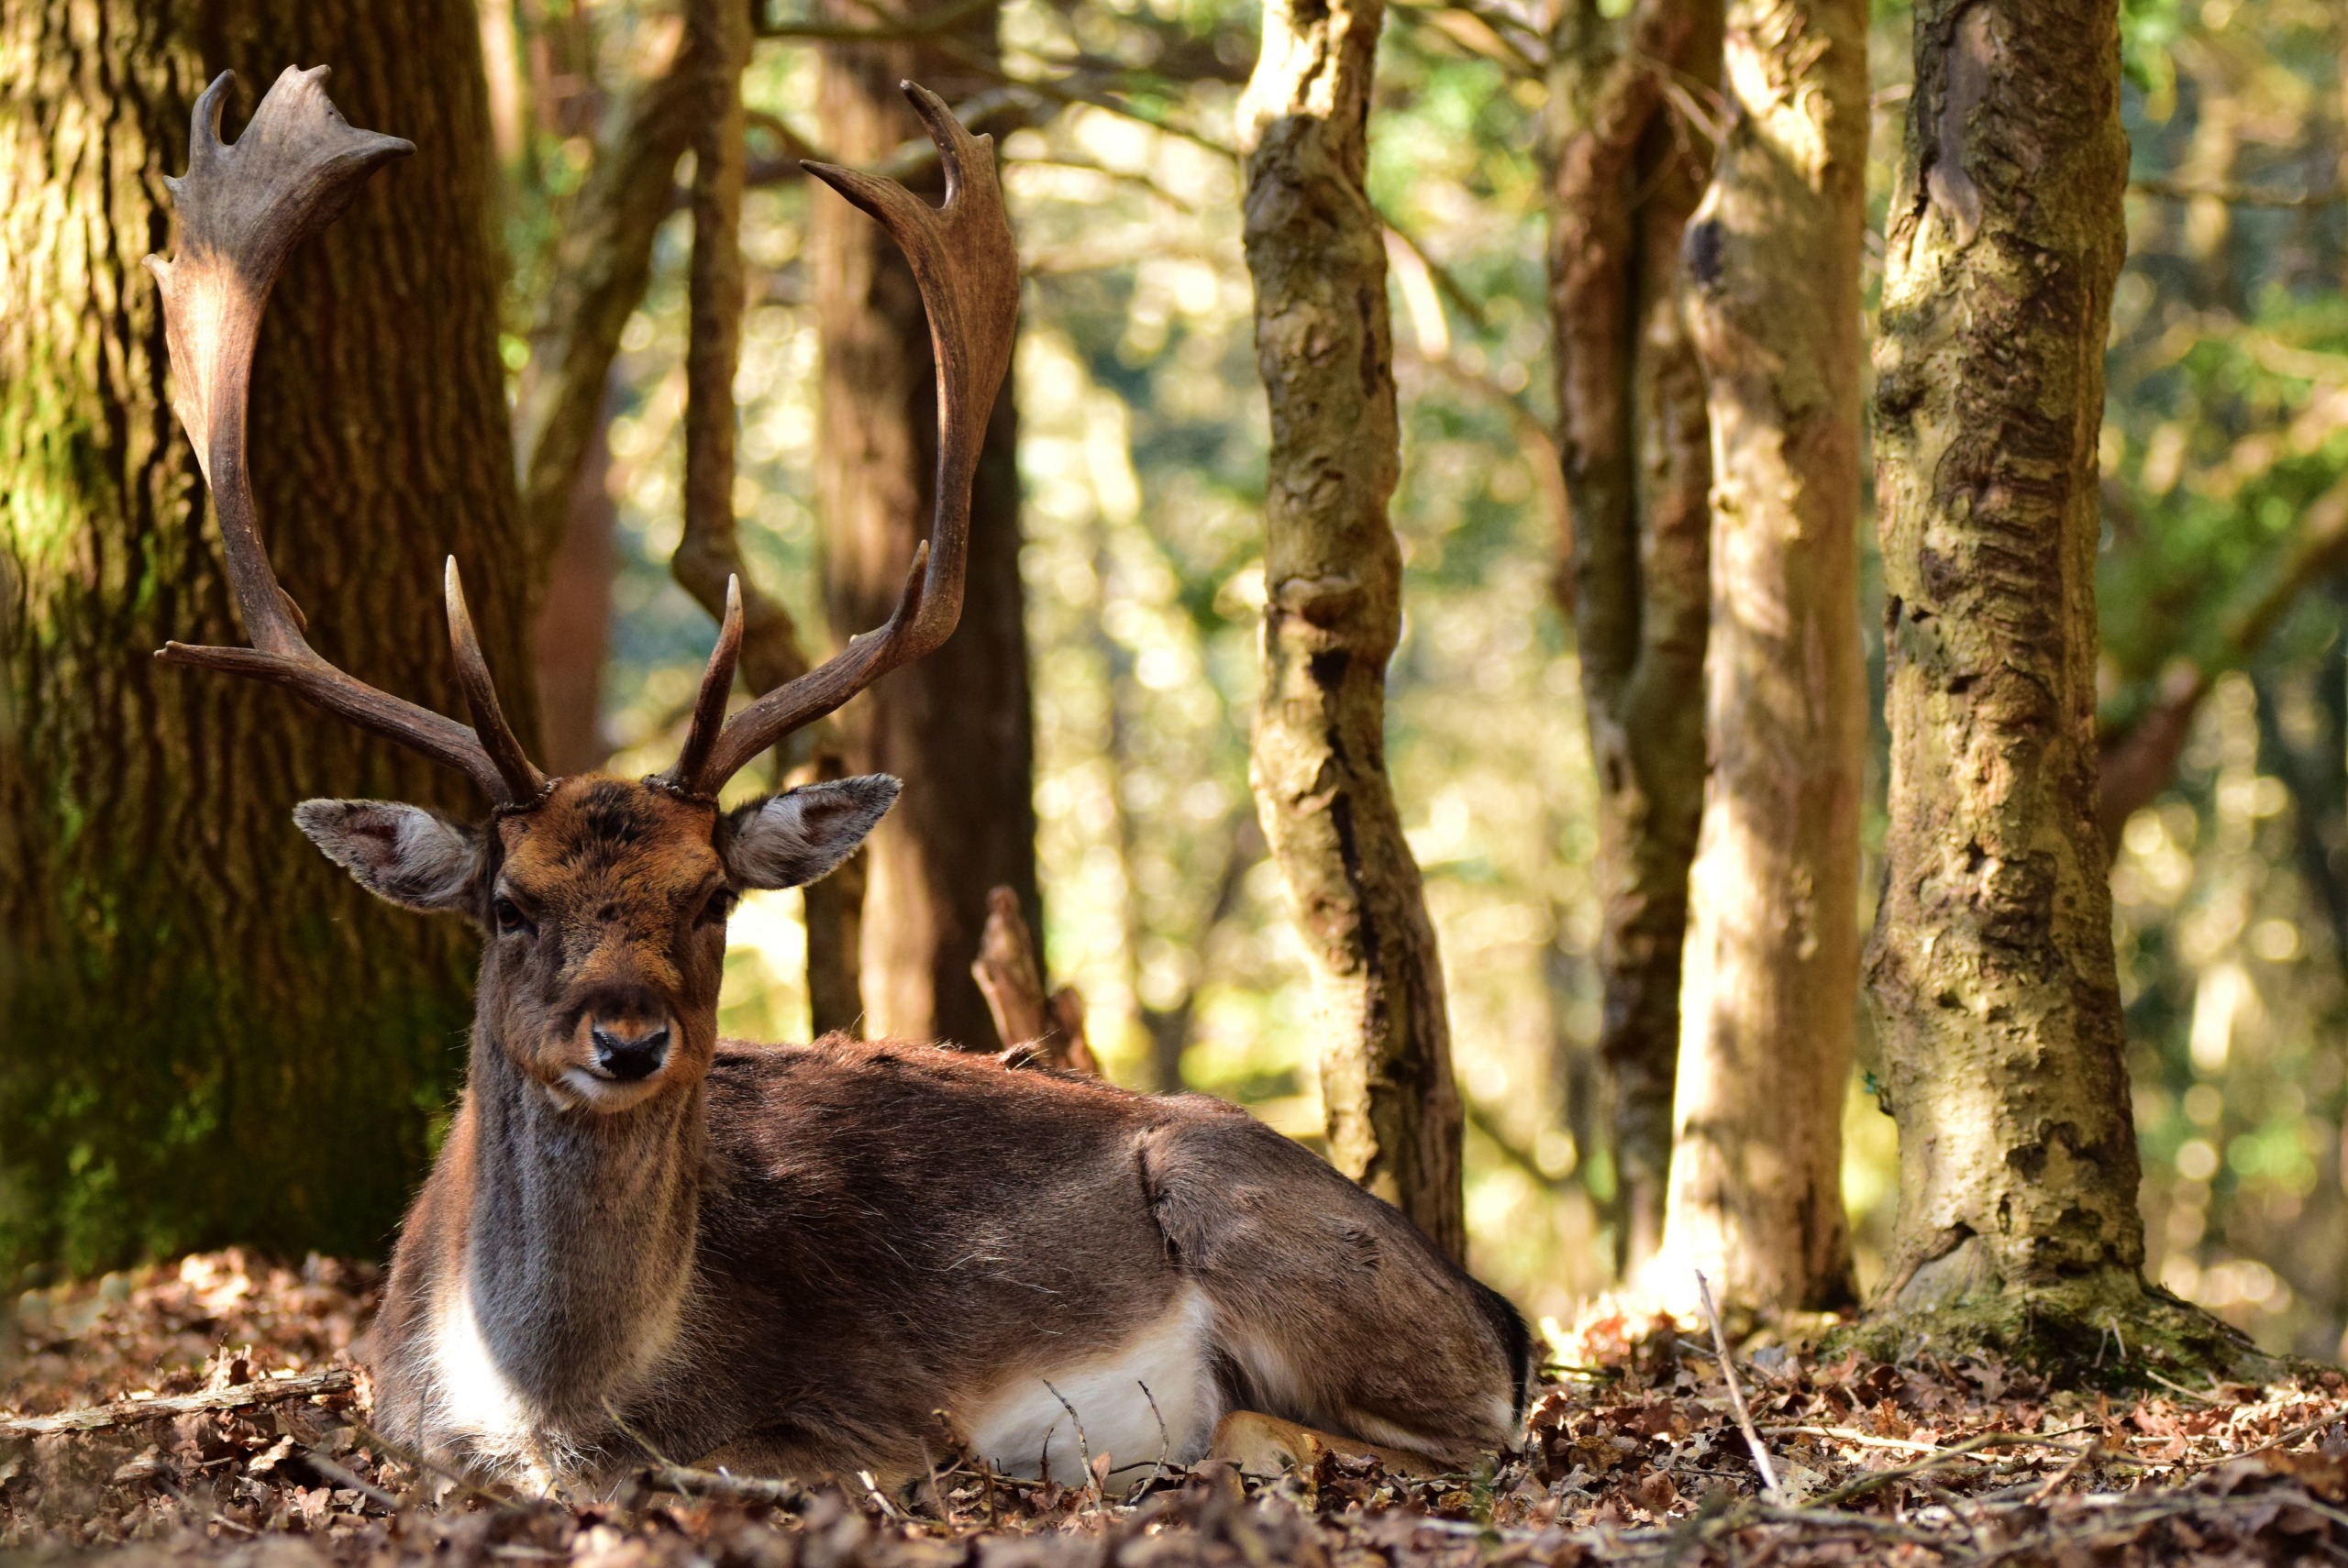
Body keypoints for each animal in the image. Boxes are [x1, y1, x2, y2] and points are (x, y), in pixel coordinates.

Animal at [151, 64, 1540, 1493]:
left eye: (711, 895)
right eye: (508, 902)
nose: (629, 1036)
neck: (549, 1405)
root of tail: (1497, 1312)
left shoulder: (871, 1422)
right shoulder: (390, 1407)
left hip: (1257, 1220)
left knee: (1440, 1438)